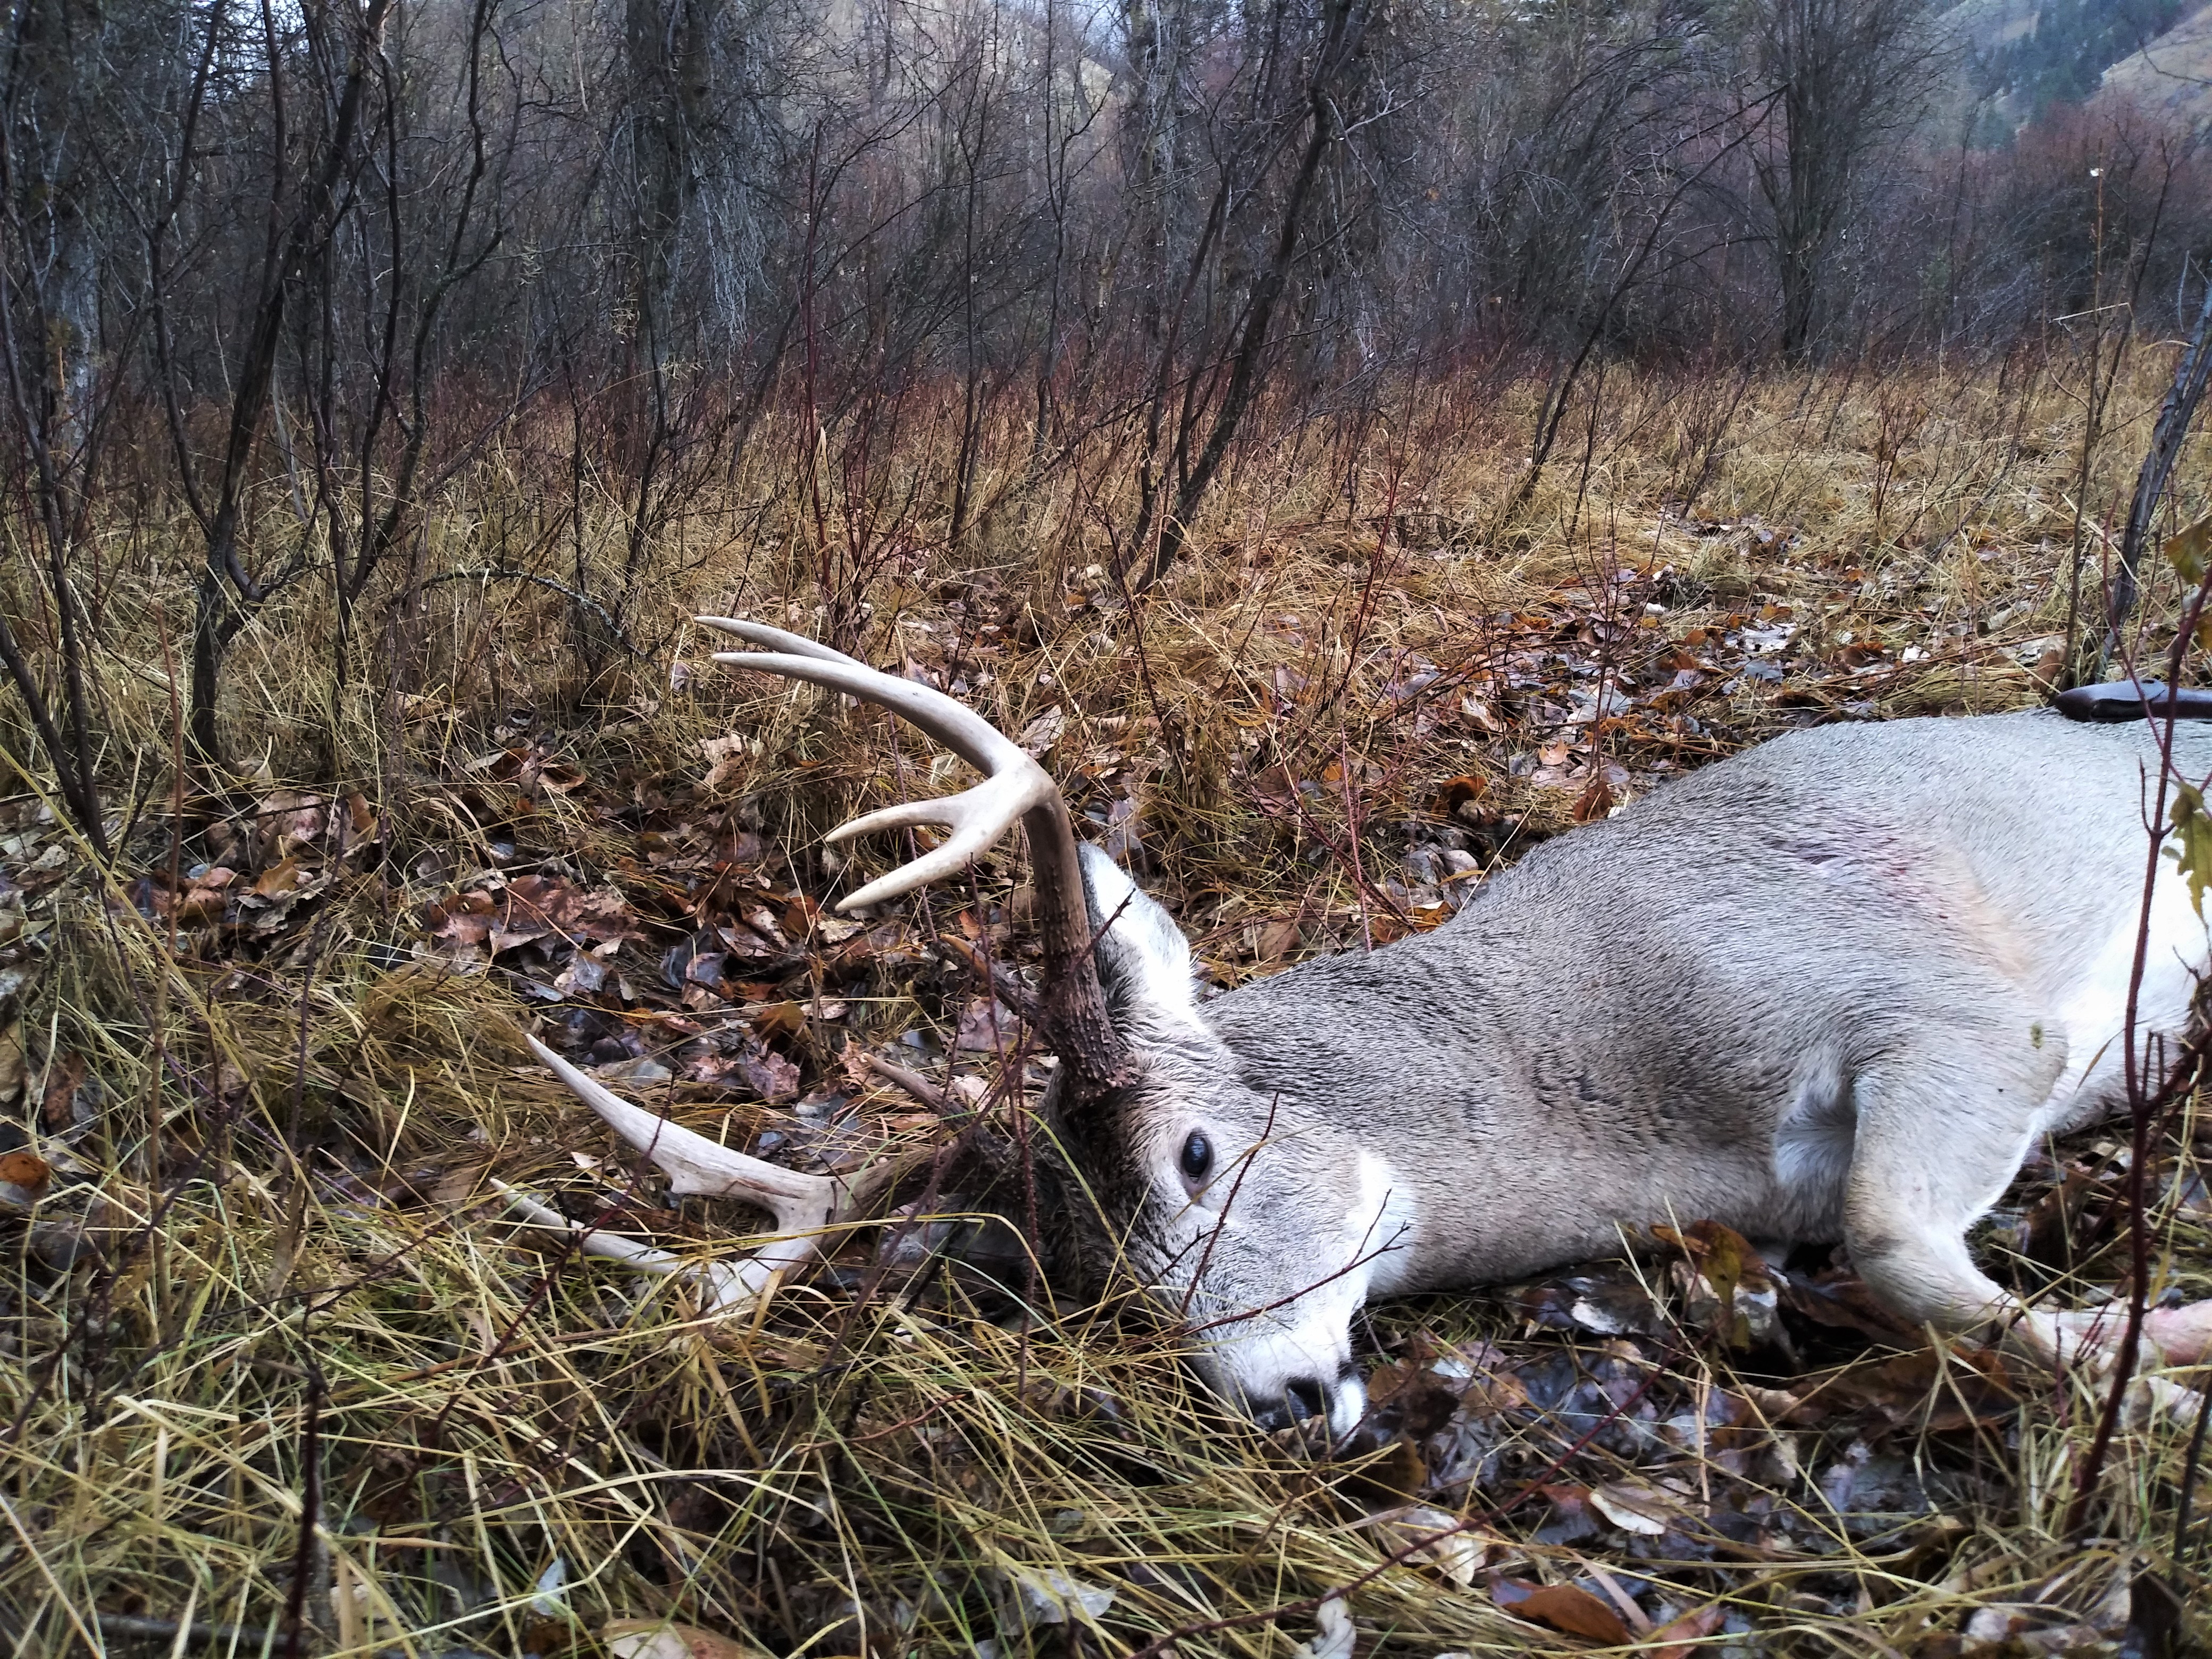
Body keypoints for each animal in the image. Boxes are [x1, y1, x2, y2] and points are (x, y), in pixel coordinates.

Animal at [513, 624, 2212, 1442]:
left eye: (1197, 1154)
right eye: (1092, 1287)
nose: (1278, 1400)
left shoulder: (1949, 999)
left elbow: (1889, 1241)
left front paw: (2171, 1364)